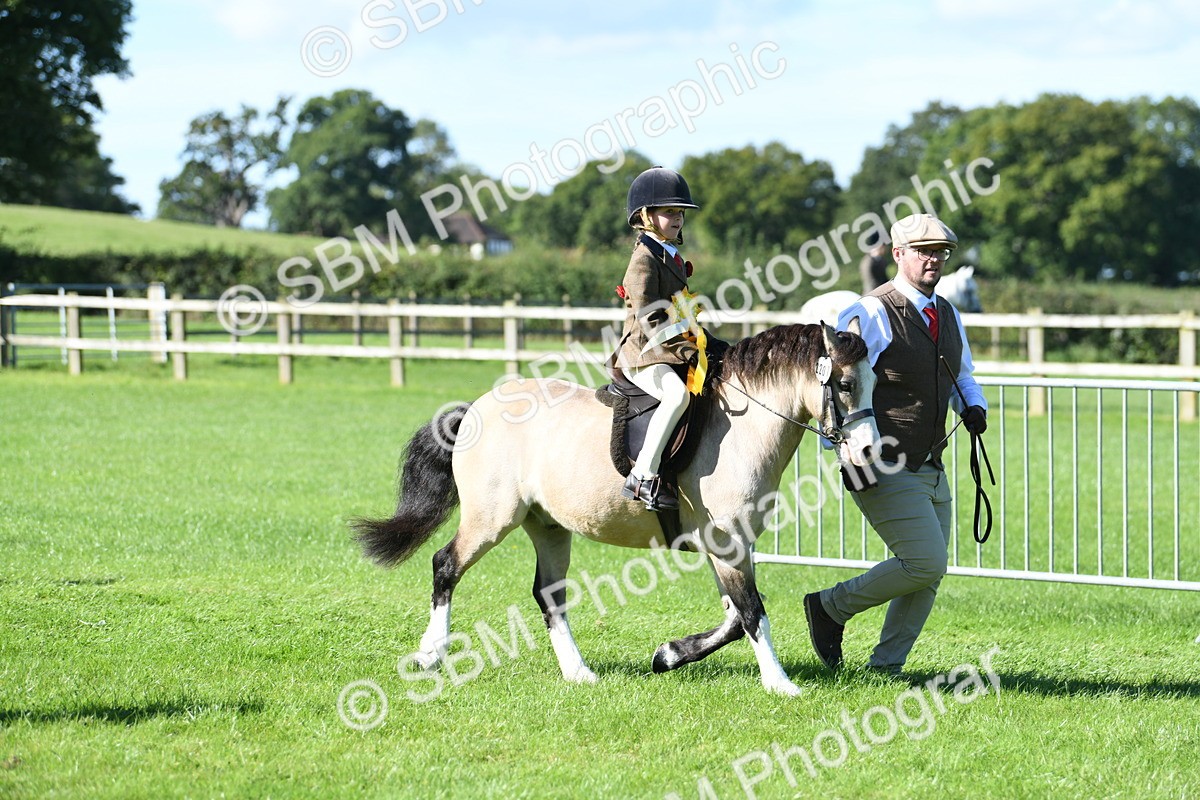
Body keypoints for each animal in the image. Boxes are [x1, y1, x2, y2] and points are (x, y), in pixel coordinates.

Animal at [352, 321, 880, 696]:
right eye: (845, 385)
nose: (869, 450)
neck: (743, 427)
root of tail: (476, 410)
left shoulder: (730, 547)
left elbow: (735, 617)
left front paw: (668, 654)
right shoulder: (727, 543)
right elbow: (751, 613)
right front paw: (780, 684)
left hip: (548, 526)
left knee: (549, 594)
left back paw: (578, 672)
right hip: (491, 519)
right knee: (446, 566)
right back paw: (430, 654)